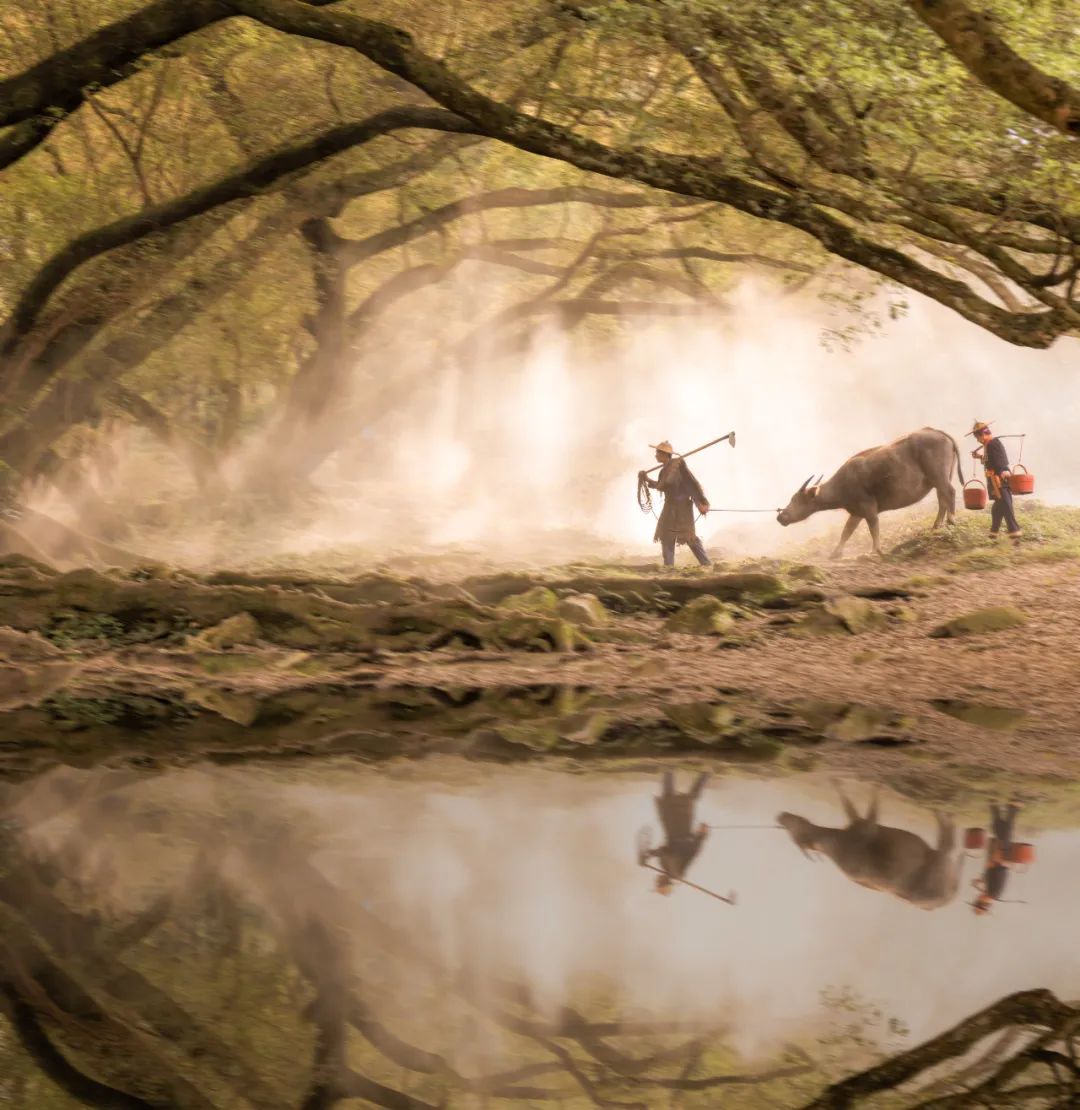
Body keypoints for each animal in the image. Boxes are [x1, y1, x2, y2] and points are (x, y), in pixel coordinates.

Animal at [776, 426, 959, 559]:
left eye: (797, 500)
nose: (781, 516)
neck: (842, 483)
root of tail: (938, 432)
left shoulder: (868, 509)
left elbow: (873, 528)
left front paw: (876, 550)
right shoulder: (856, 513)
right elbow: (846, 532)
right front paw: (835, 553)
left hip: (939, 476)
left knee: (950, 492)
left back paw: (951, 521)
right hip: (939, 479)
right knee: (942, 498)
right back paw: (936, 526)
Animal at [776, 781, 959, 910]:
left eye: (794, 828)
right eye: (796, 834)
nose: (780, 815)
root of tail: (949, 897)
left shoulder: (862, 826)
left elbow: (853, 806)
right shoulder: (866, 826)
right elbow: (857, 805)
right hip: (938, 866)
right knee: (947, 843)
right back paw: (942, 813)